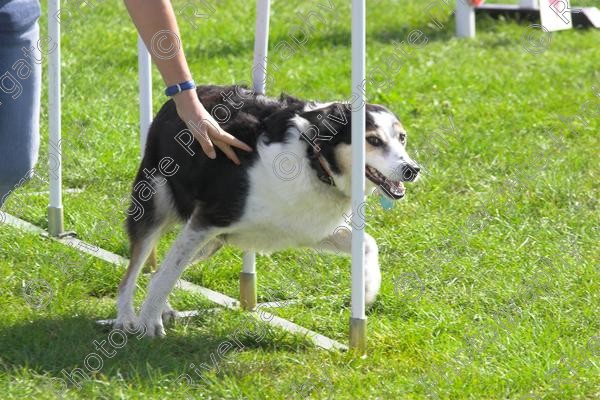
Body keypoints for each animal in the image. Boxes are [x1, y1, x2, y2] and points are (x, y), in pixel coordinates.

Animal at [115, 85, 420, 338]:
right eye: (374, 140)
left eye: (402, 138)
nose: (412, 169)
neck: (315, 160)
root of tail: (174, 103)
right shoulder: (210, 217)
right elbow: (166, 274)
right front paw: (149, 322)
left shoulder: (309, 228)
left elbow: (369, 244)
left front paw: (367, 288)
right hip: (156, 204)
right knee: (135, 270)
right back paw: (126, 317)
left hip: (211, 241)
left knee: (160, 268)